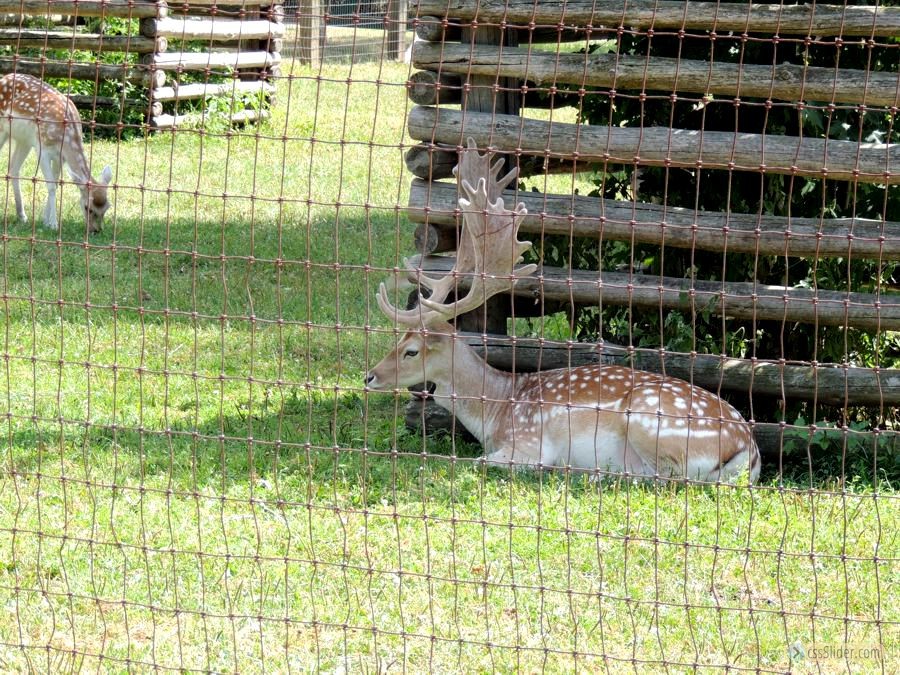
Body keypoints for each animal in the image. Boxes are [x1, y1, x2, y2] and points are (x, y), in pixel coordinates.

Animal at [0, 73, 112, 232]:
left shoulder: (60, 157)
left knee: (13, 168)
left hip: (24, 140)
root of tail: (5, 77)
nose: (96, 230)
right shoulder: (42, 149)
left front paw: (45, 220)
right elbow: (51, 185)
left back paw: (22, 215)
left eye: (107, 207)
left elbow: (57, 184)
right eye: (87, 208)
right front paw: (53, 224)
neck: (66, 137)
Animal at [366, 140, 760, 484]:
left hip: (650, 424)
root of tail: (749, 449)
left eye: (411, 350)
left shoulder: (529, 442)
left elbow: (480, 461)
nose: (370, 376)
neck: (496, 411)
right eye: (397, 340)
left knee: (666, 478)